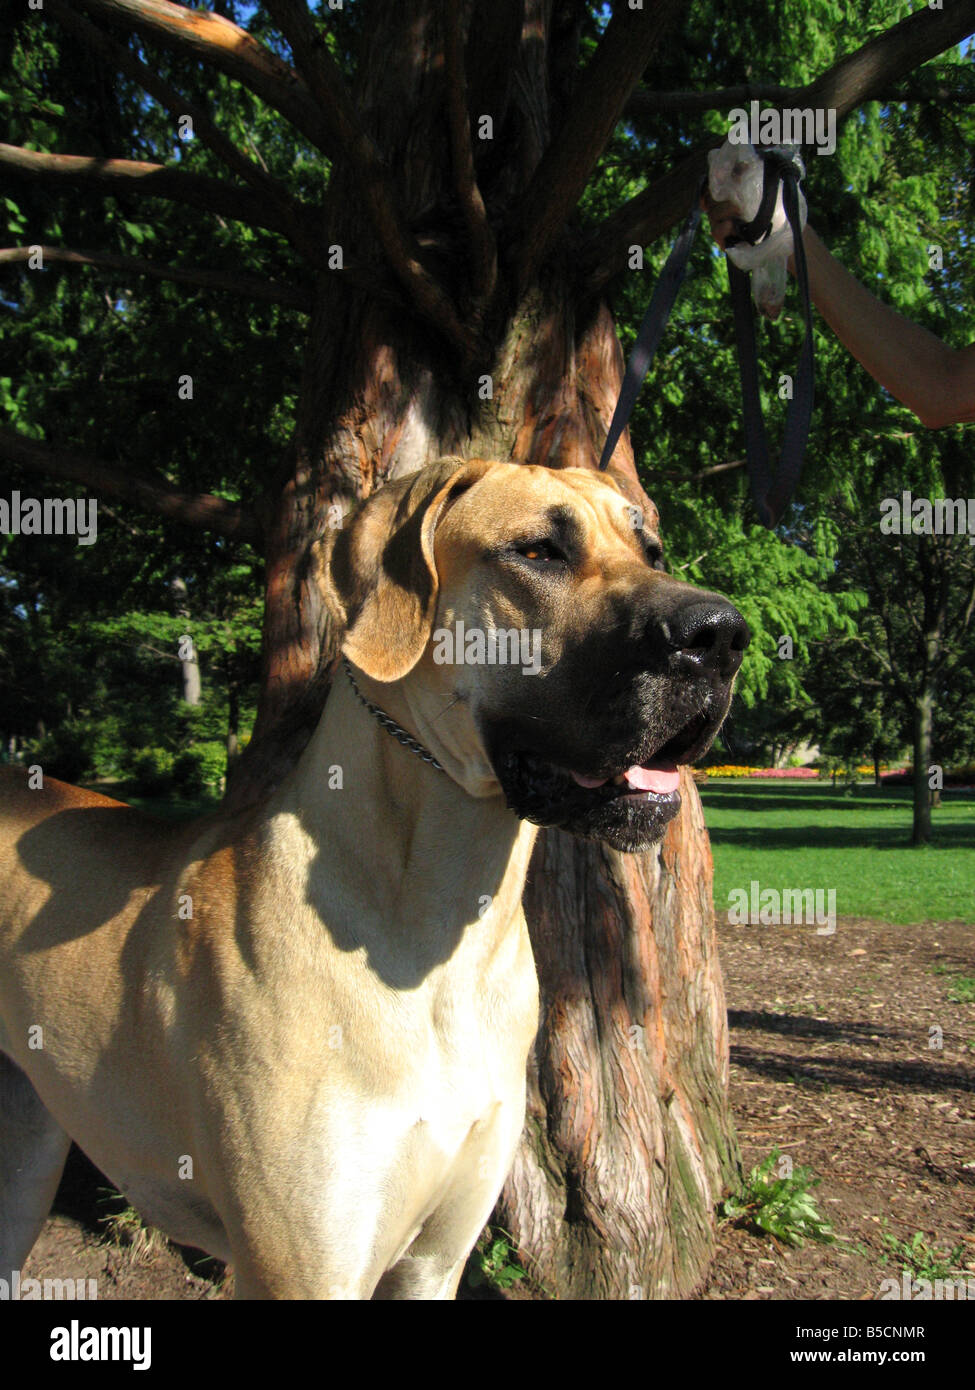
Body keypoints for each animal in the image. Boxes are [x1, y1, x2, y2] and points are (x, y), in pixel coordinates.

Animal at [0, 461, 745, 1295]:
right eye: (538, 551)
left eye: (651, 550)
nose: (723, 636)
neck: (445, 929)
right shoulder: (304, 1269)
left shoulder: (434, 1262)